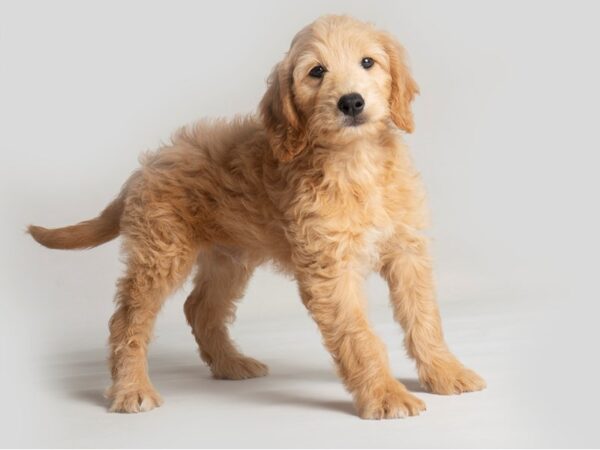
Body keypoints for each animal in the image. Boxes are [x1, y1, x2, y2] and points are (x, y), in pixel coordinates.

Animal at [30, 15, 486, 420]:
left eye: (368, 62)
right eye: (316, 72)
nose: (352, 102)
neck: (356, 163)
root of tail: (146, 167)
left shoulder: (406, 249)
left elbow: (425, 318)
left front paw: (445, 373)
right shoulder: (329, 270)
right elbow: (359, 336)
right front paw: (386, 395)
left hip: (230, 258)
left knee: (200, 308)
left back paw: (231, 364)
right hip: (161, 254)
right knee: (127, 321)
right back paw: (132, 389)